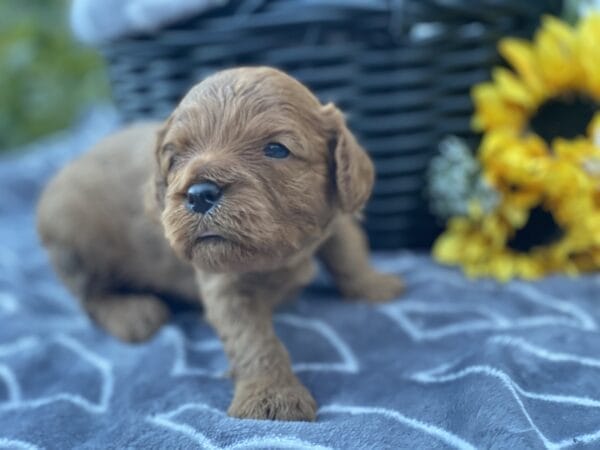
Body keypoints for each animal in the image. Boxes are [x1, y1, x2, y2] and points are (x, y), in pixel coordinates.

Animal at [36, 67, 404, 422]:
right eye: (175, 158)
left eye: (276, 149)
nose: (200, 194)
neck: (282, 254)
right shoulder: (224, 283)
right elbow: (254, 340)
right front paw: (271, 395)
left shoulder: (332, 215)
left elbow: (347, 247)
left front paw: (373, 284)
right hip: (76, 237)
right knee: (90, 298)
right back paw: (131, 312)